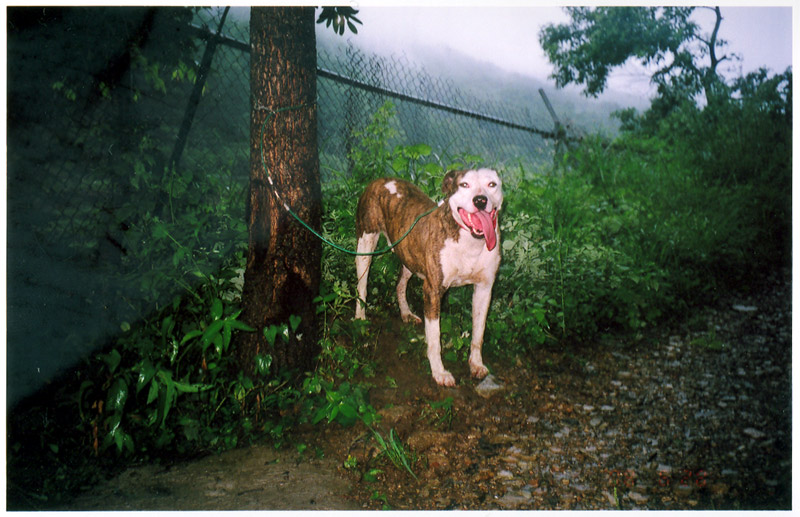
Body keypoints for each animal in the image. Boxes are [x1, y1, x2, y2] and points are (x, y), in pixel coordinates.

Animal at [354, 168, 503, 387]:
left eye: (492, 184)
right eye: (464, 184)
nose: (481, 200)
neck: (470, 242)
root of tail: (381, 179)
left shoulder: (484, 289)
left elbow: (478, 333)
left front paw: (476, 364)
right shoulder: (432, 291)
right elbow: (434, 338)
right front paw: (439, 372)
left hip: (409, 254)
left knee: (400, 284)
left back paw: (406, 313)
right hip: (365, 244)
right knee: (362, 286)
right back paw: (360, 318)